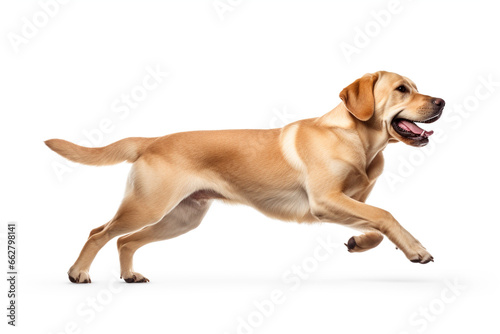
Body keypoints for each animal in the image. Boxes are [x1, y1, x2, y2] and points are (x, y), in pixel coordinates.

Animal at [46, 71, 446, 284]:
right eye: (402, 89)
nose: (441, 101)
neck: (359, 140)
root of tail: (152, 140)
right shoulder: (324, 201)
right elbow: (385, 215)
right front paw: (417, 249)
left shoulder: (351, 202)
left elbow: (376, 226)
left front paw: (359, 243)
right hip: (147, 206)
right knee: (99, 233)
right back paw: (78, 273)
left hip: (181, 218)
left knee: (125, 241)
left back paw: (129, 275)